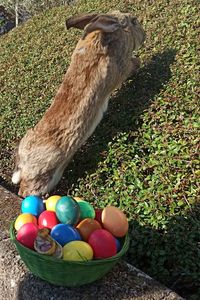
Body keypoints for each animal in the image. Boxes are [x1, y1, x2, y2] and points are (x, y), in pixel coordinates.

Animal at [12, 10, 145, 197]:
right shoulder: (123, 67)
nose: (144, 35)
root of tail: (23, 165)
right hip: (43, 176)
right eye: (133, 21)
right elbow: (134, 64)